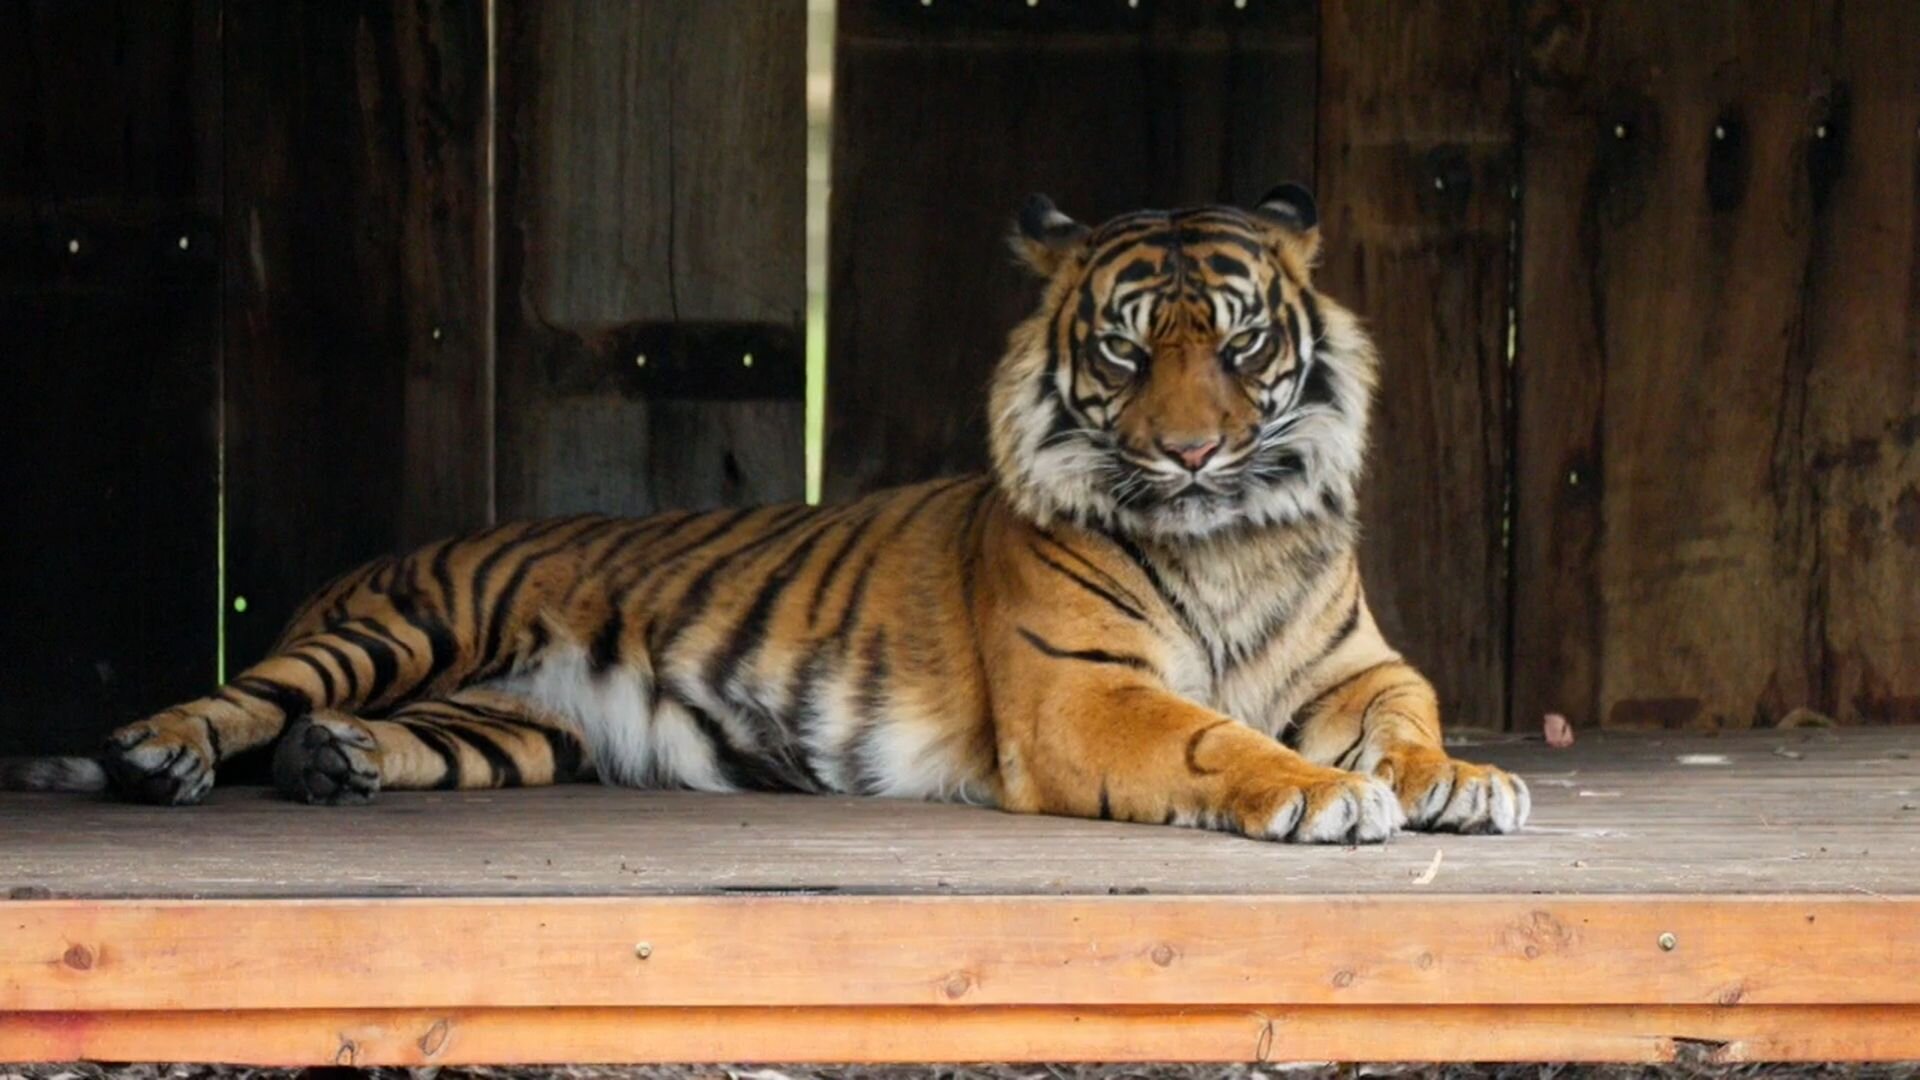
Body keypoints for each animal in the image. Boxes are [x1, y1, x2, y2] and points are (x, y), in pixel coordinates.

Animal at [2, 184, 1528, 843]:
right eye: (1127, 349)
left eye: (1240, 344)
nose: (1197, 452)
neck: (1228, 538)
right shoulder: (1083, 696)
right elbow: (1218, 741)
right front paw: (1323, 797)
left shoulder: (1358, 667)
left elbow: (1409, 717)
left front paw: (1458, 780)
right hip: (400, 629)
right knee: (246, 697)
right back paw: (159, 755)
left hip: (519, 729)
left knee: (384, 738)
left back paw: (342, 766)